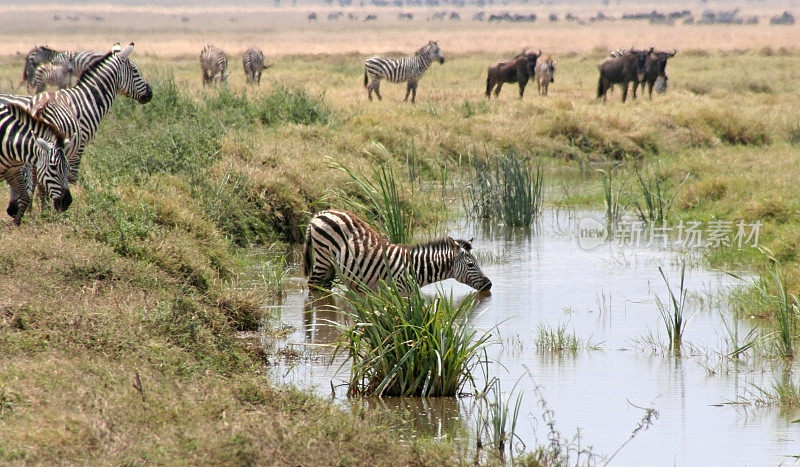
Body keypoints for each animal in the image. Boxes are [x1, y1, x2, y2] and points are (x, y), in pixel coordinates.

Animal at [0, 42, 152, 214]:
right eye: (135, 71)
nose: (150, 93)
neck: (87, 99)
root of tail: (36, 107)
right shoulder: (79, 145)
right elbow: (72, 177)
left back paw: (35, 209)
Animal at [304, 211, 490, 292]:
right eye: (471, 265)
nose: (490, 284)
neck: (416, 268)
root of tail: (321, 213)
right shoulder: (398, 291)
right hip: (322, 258)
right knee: (312, 285)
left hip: (331, 266)